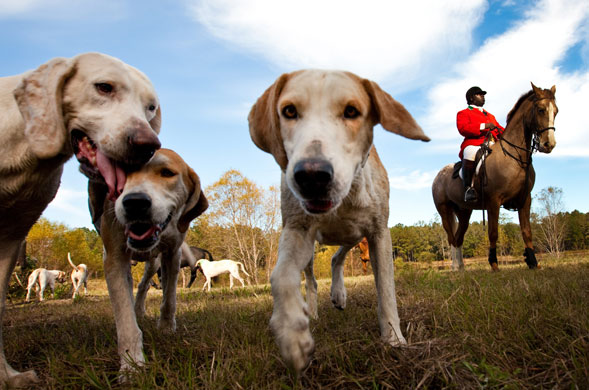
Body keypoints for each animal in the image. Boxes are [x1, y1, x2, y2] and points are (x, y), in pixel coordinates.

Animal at [86, 148, 208, 380]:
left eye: (167, 173)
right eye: (120, 173)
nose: (135, 202)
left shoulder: (172, 254)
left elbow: (169, 299)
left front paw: (166, 327)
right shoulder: (114, 258)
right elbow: (125, 320)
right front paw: (132, 365)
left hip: (154, 263)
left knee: (144, 285)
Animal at [246, 69, 430, 372]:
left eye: (351, 111)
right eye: (289, 111)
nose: (311, 175)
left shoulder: (378, 232)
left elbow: (386, 290)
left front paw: (393, 339)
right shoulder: (297, 229)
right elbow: (281, 276)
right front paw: (293, 334)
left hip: (355, 235)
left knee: (337, 257)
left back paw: (339, 293)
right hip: (313, 251)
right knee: (311, 279)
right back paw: (313, 309)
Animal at [432, 83, 556, 272]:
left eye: (556, 111)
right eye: (541, 110)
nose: (548, 144)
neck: (515, 157)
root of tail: (439, 175)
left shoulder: (525, 199)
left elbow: (527, 232)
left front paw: (533, 262)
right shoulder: (493, 201)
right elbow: (493, 232)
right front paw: (494, 264)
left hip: (464, 212)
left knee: (459, 238)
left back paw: (461, 268)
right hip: (444, 210)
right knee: (452, 239)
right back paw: (454, 267)